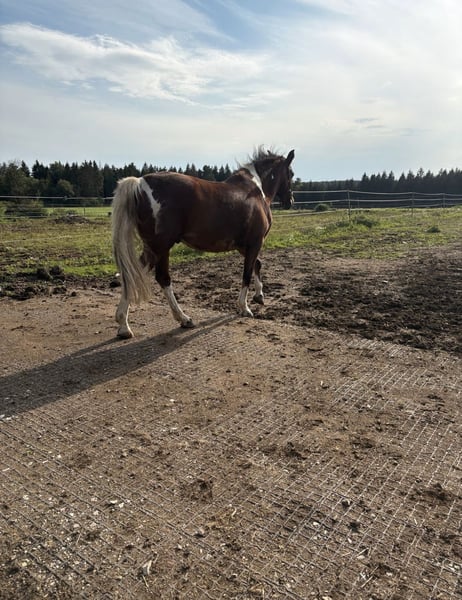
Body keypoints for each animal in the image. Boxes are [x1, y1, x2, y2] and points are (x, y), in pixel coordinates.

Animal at [111, 147, 295, 338]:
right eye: (291, 173)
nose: (290, 201)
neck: (255, 191)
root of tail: (140, 183)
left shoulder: (243, 246)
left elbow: (257, 265)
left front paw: (259, 296)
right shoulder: (255, 242)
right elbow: (246, 273)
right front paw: (244, 308)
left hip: (153, 248)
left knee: (134, 275)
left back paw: (125, 325)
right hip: (160, 247)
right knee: (160, 278)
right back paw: (182, 319)